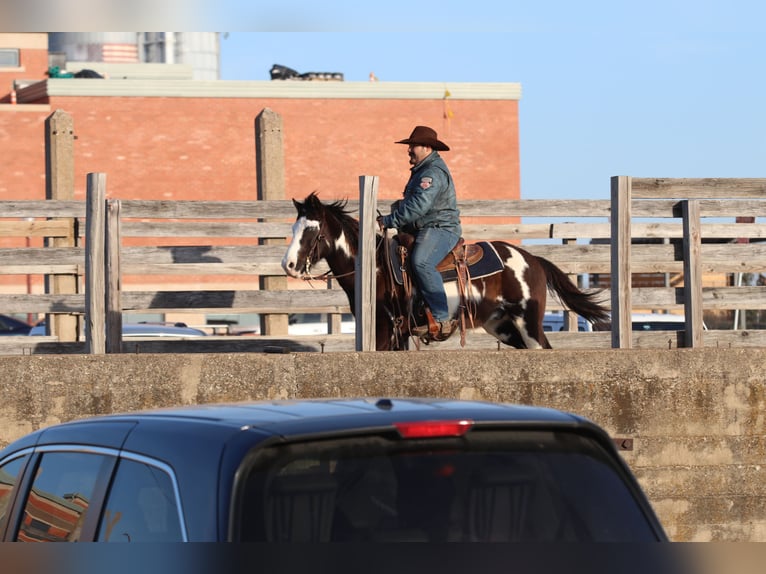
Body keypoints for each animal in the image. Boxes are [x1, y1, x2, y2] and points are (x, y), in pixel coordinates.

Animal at [282, 195, 612, 352]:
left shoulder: (386, 329)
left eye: (311, 230)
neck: (376, 267)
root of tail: (533, 260)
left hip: (528, 323)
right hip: (503, 326)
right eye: (294, 227)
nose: (288, 265)